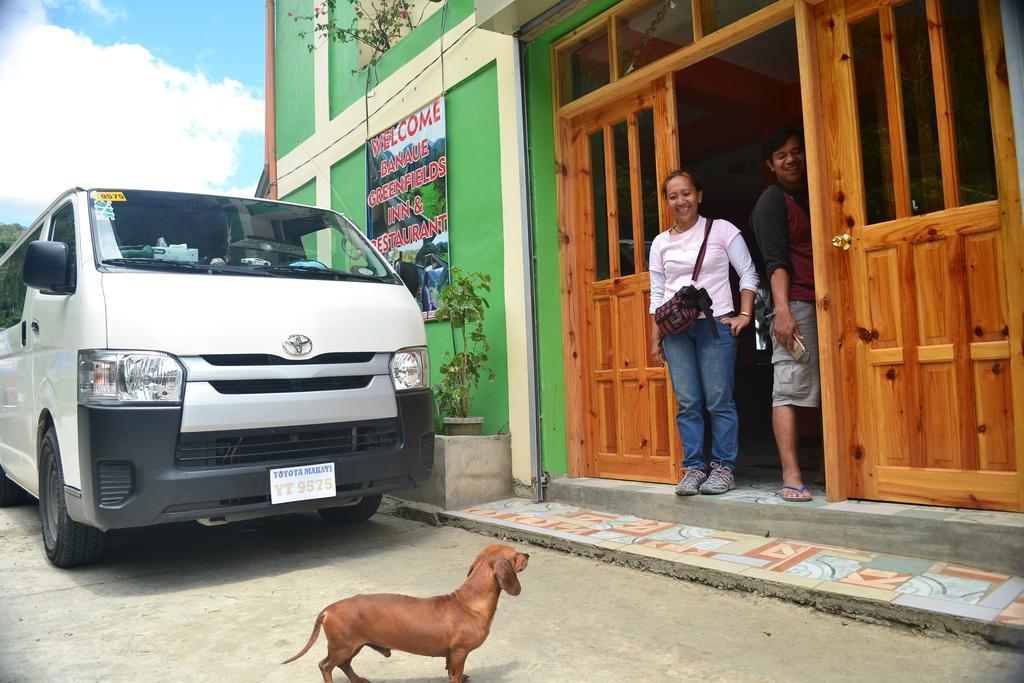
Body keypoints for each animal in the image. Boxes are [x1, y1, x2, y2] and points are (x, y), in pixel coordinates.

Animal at [284, 544, 532, 683]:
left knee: (344, 665)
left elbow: (450, 671)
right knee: (325, 666)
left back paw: (358, 680)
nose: (528, 554)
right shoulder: (460, 652)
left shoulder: (451, 654)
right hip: (341, 647)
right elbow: (455, 675)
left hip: (353, 646)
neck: (468, 603)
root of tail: (329, 608)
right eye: (515, 554)